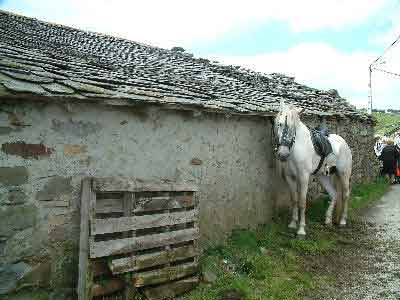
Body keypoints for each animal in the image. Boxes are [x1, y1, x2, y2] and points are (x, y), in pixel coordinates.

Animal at [274, 102, 352, 238]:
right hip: (323, 176)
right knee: (334, 194)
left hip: (344, 174)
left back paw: (342, 221)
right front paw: (293, 224)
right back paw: (328, 219)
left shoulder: (303, 177)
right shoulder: (290, 177)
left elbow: (302, 202)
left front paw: (301, 230)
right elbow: (294, 200)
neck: (295, 149)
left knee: (345, 195)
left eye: (293, 127)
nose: (283, 154)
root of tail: (344, 143)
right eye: (279, 124)